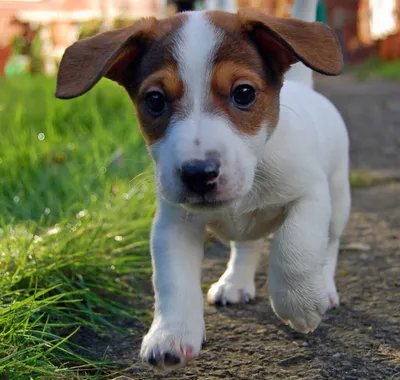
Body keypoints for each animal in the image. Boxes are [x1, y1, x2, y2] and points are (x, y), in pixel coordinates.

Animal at [56, 0, 350, 372]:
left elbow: (295, 247)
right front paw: (170, 333)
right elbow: (172, 280)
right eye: (155, 100)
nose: (198, 173)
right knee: (247, 246)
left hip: (338, 200)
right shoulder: (172, 226)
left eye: (244, 93)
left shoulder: (309, 194)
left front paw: (298, 303)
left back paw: (323, 286)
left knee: (329, 245)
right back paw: (235, 283)